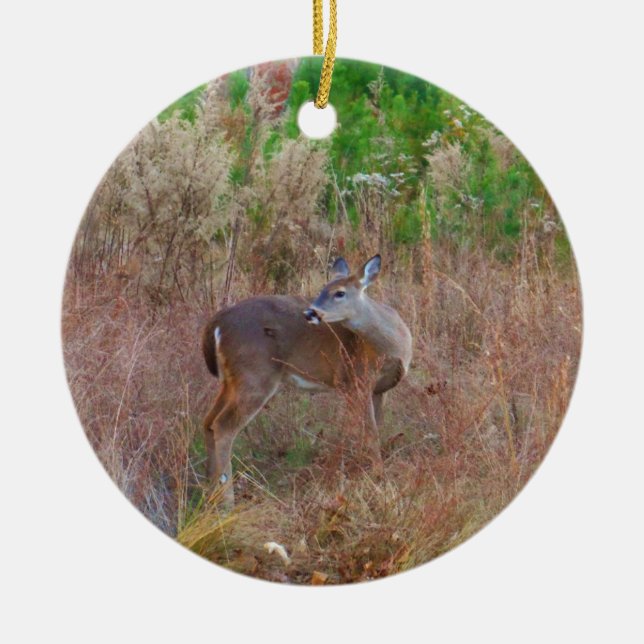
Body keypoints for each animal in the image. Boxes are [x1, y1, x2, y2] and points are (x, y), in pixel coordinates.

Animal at [201, 254, 412, 505]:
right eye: (322, 289)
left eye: (339, 292)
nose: (311, 313)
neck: (394, 346)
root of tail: (216, 324)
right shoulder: (354, 380)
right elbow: (369, 433)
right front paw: (378, 477)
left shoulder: (378, 389)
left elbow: (374, 429)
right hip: (255, 376)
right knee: (223, 426)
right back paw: (227, 501)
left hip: (231, 380)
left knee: (208, 422)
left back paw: (209, 494)